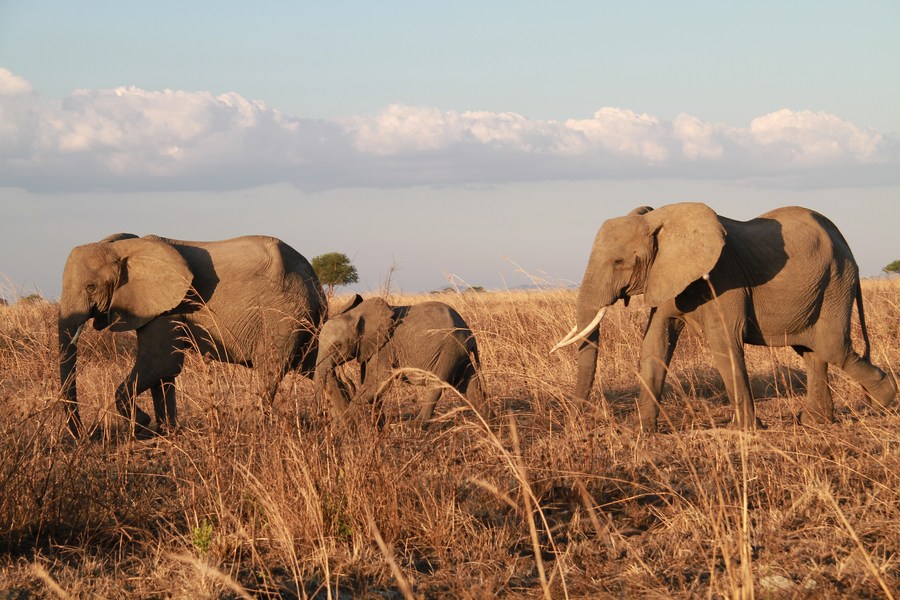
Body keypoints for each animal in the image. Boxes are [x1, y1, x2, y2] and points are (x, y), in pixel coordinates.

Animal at [58, 233, 326, 437]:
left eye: (91, 287)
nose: (85, 436)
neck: (124, 248)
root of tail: (312, 277)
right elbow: (164, 373)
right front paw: (166, 431)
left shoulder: (168, 309)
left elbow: (161, 364)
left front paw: (143, 425)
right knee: (315, 365)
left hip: (281, 318)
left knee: (270, 369)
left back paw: (254, 428)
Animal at [314, 295, 486, 427]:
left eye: (338, 346)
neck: (356, 313)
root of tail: (469, 333)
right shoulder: (370, 347)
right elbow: (369, 383)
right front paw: (377, 425)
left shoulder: (386, 346)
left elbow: (377, 383)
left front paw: (346, 423)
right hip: (459, 353)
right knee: (469, 381)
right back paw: (484, 418)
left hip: (449, 350)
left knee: (436, 385)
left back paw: (415, 426)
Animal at [552, 203, 896, 431]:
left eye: (619, 261)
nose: (574, 424)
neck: (660, 218)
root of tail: (845, 243)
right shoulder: (666, 278)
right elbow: (654, 346)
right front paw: (641, 432)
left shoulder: (722, 277)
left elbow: (724, 344)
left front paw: (744, 431)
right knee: (812, 352)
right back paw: (814, 422)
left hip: (836, 281)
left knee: (831, 347)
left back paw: (883, 399)